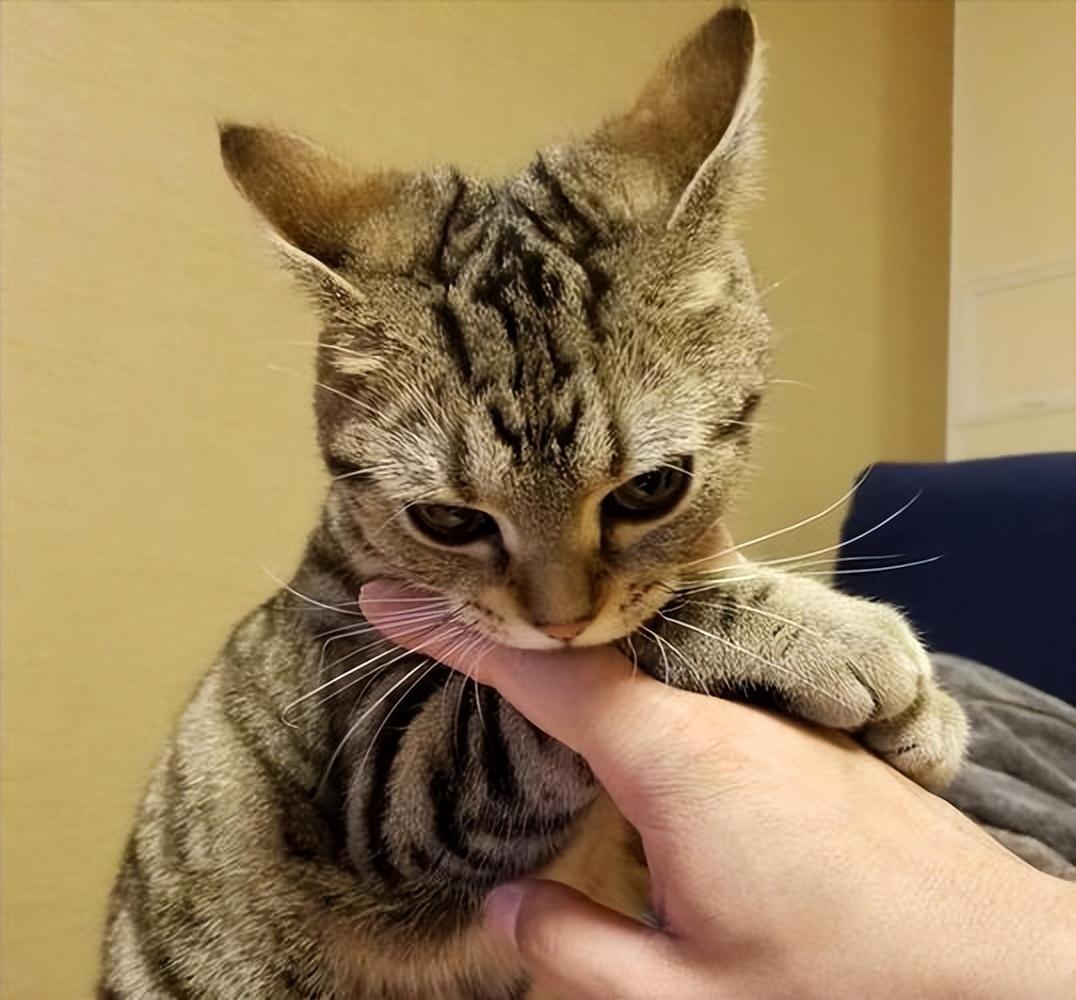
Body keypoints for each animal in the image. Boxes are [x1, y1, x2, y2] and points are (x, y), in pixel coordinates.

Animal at [99, 6, 967, 998]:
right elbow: (568, 680)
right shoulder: (386, 778)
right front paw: (834, 642)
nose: (559, 622)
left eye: (651, 488)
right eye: (448, 519)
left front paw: (913, 720)